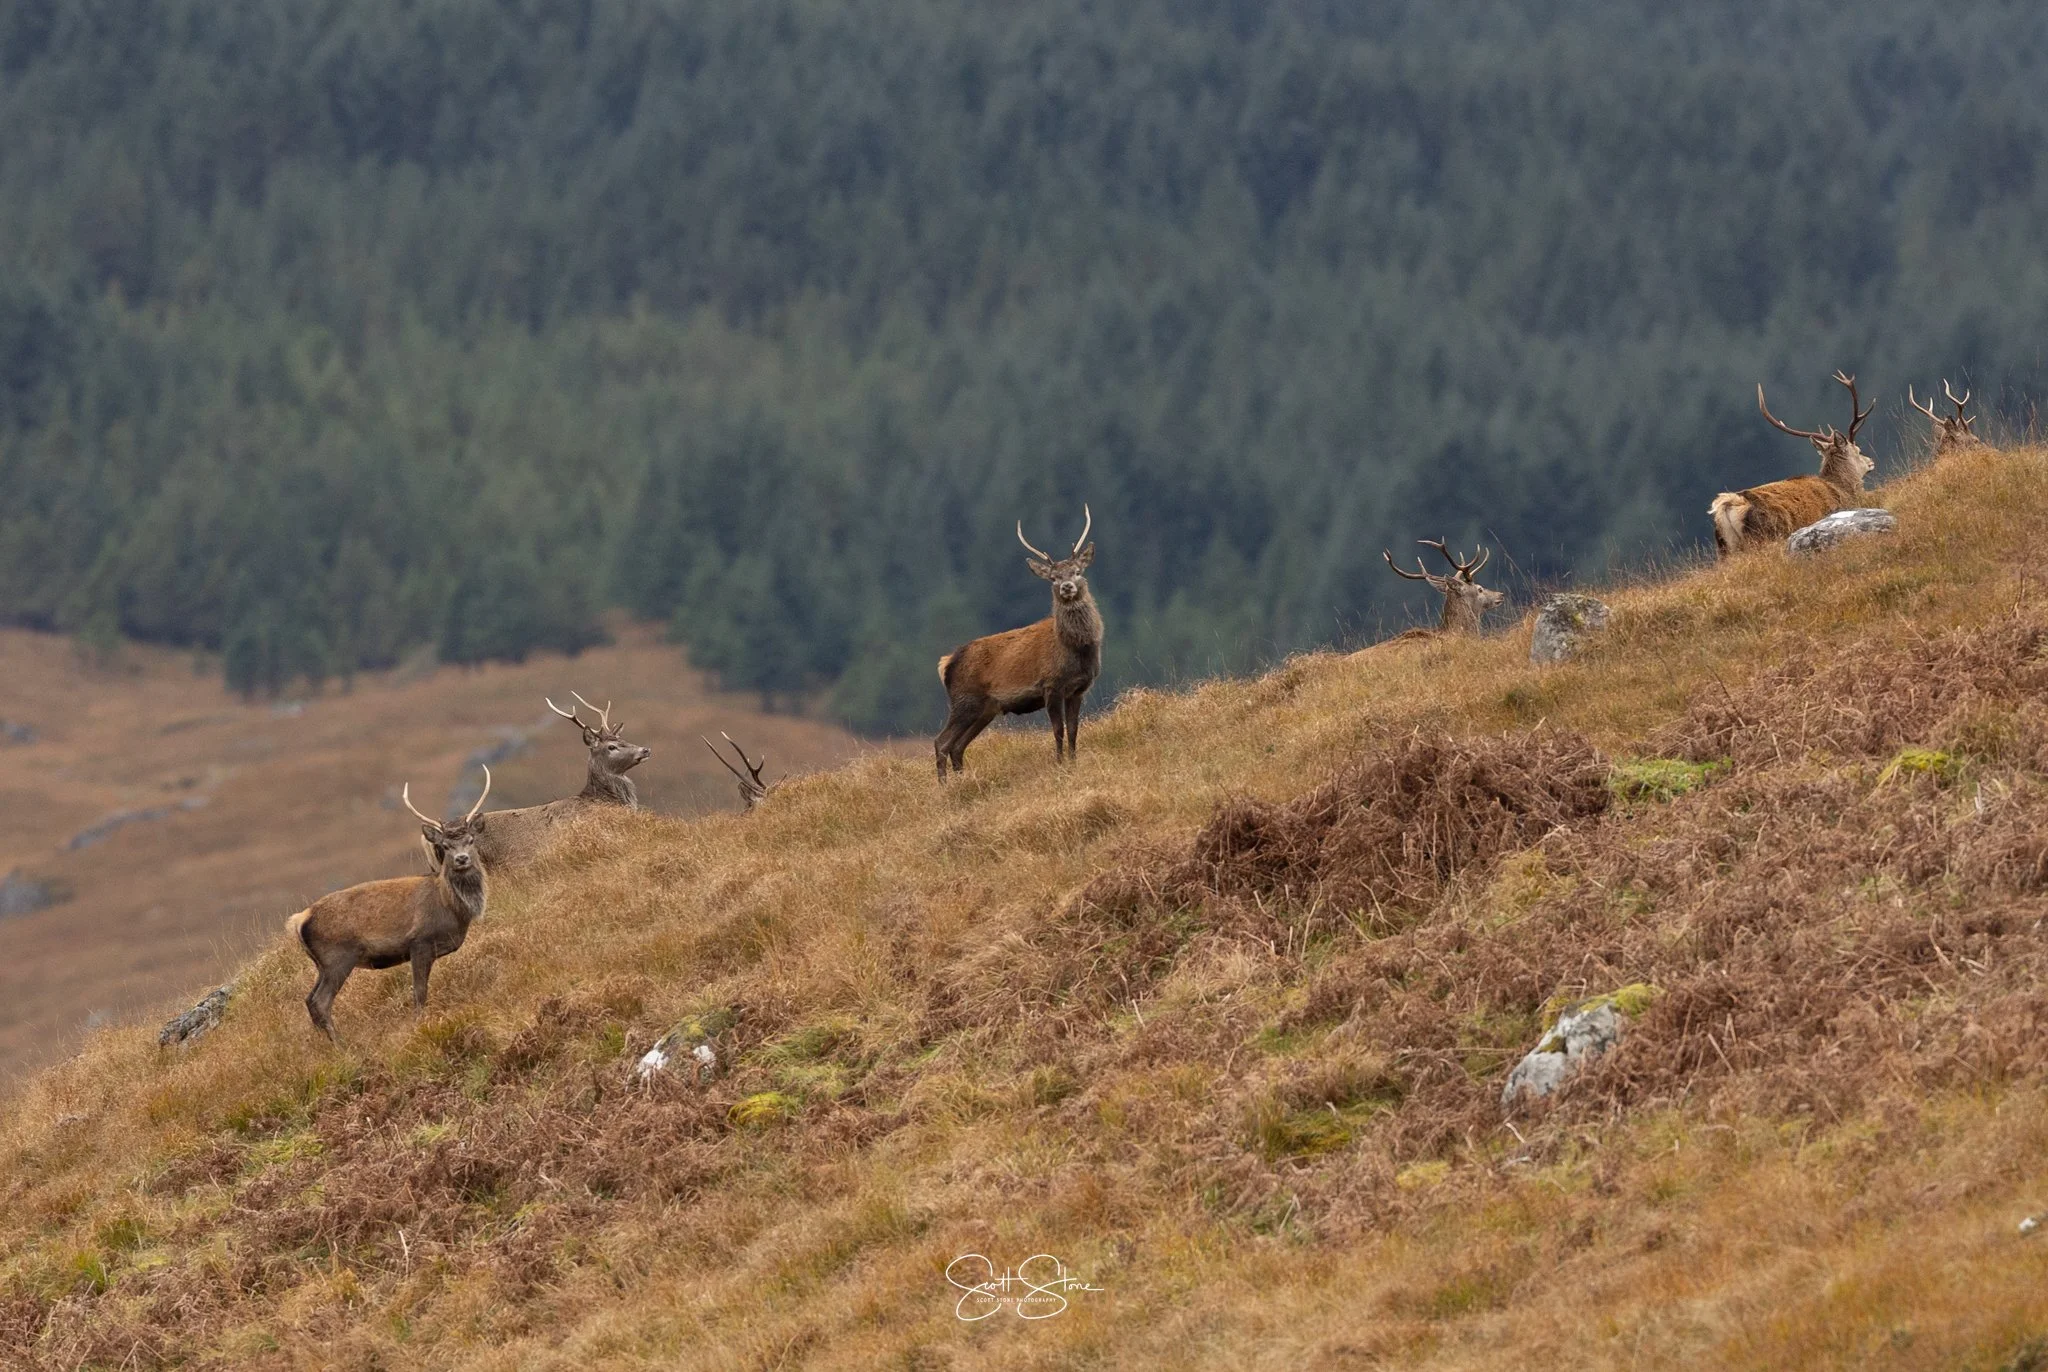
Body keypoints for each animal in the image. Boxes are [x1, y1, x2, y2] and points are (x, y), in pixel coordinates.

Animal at [287, 767, 492, 1040]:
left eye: (470, 840)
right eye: (445, 846)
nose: (461, 859)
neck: (452, 910)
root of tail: (300, 920)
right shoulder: (419, 941)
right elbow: (419, 991)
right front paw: (419, 1025)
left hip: (322, 964)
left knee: (309, 1000)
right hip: (338, 957)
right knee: (320, 1002)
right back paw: (343, 1044)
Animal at [935, 505, 1103, 779]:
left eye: (1078, 571)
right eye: (1053, 577)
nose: (1066, 587)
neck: (1076, 650)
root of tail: (947, 663)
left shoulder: (1079, 689)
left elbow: (1073, 730)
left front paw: (1073, 763)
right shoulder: (1051, 685)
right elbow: (1058, 730)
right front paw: (1059, 765)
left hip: (985, 709)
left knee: (957, 746)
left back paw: (962, 780)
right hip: (964, 700)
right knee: (941, 742)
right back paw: (945, 785)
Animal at [1710, 371, 1876, 557]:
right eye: (1858, 450)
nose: (1871, 462)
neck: (1843, 488)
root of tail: (1729, 504)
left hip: (1724, 548)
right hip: (1764, 537)